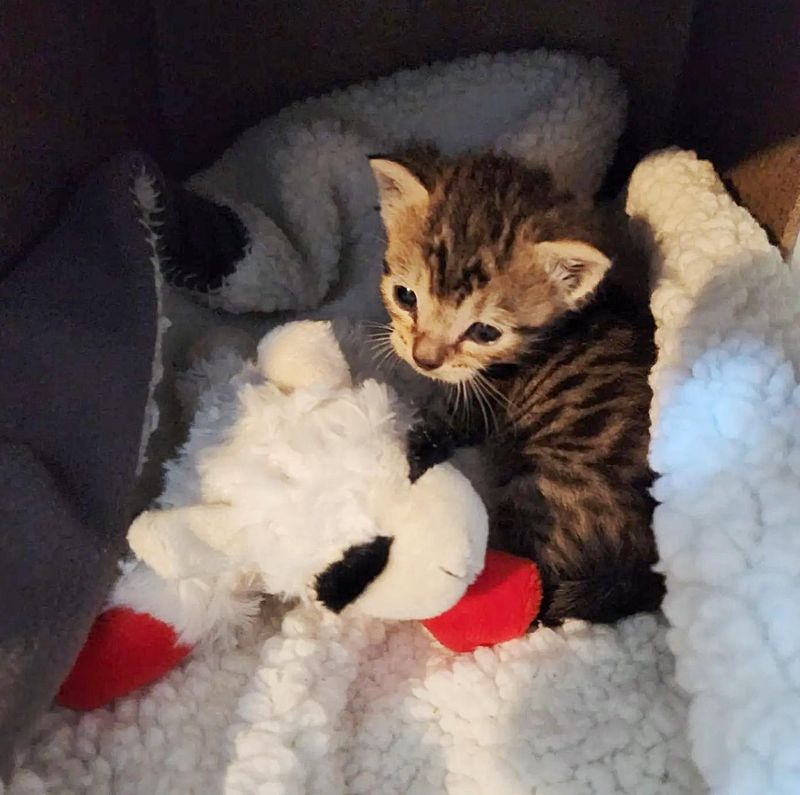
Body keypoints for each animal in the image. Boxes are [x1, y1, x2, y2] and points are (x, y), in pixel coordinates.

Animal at [368, 148, 664, 620]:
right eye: (405, 296)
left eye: (485, 332)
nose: (424, 359)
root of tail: (644, 575)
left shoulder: (479, 404)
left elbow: (441, 424)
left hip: (540, 487)